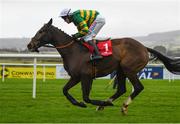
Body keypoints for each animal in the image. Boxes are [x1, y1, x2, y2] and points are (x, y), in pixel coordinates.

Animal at [26, 18, 180, 115]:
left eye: (41, 31)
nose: (29, 45)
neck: (73, 51)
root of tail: (143, 47)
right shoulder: (76, 77)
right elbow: (64, 90)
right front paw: (80, 103)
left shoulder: (86, 76)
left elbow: (86, 97)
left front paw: (90, 103)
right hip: (120, 70)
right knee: (122, 89)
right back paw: (103, 105)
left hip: (129, 69)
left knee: (137, 87)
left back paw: (122, 106)